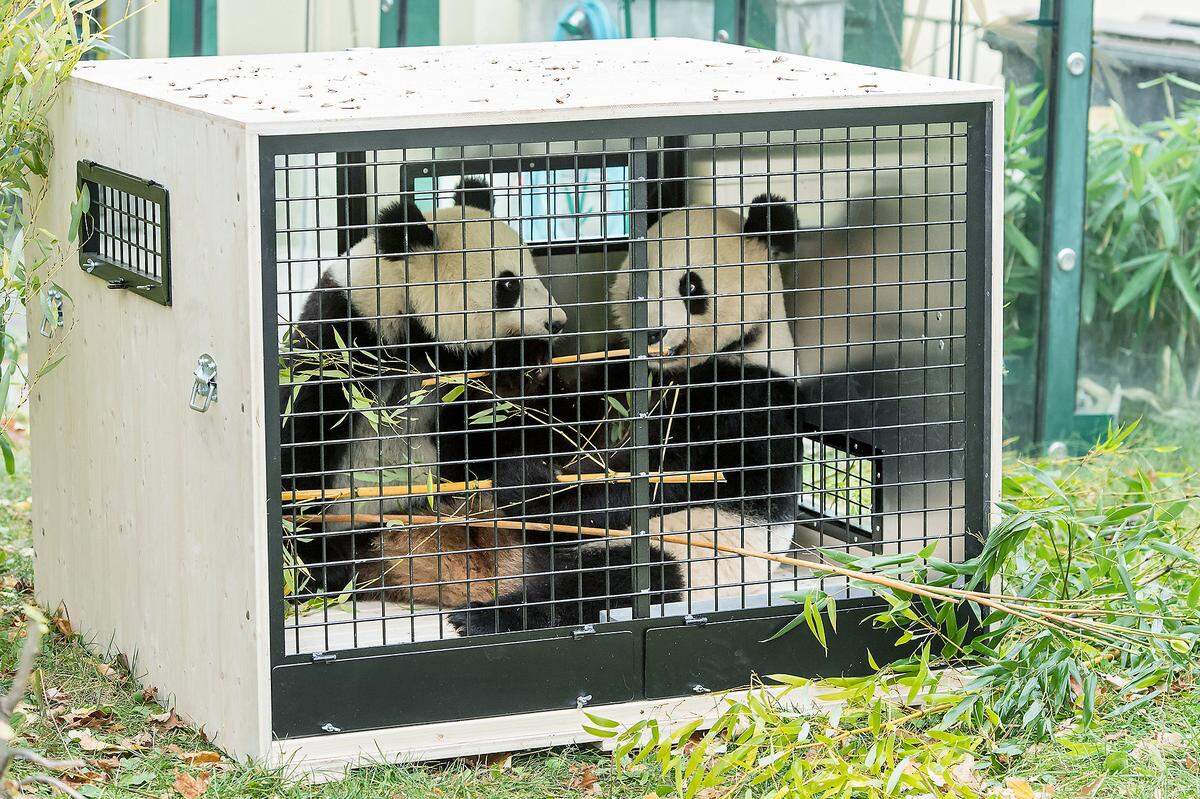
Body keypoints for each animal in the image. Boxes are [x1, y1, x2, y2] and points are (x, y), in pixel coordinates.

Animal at [446, 194, 811, 633]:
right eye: (641, 279)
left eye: (691, 285)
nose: (652, 331)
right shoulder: (619, 374)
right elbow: (556, 423)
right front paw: (508, 372)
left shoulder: (744, 400)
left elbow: (664, 477)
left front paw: (526, 483)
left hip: (686, 554)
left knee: (611, 587)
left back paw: (488, 616)